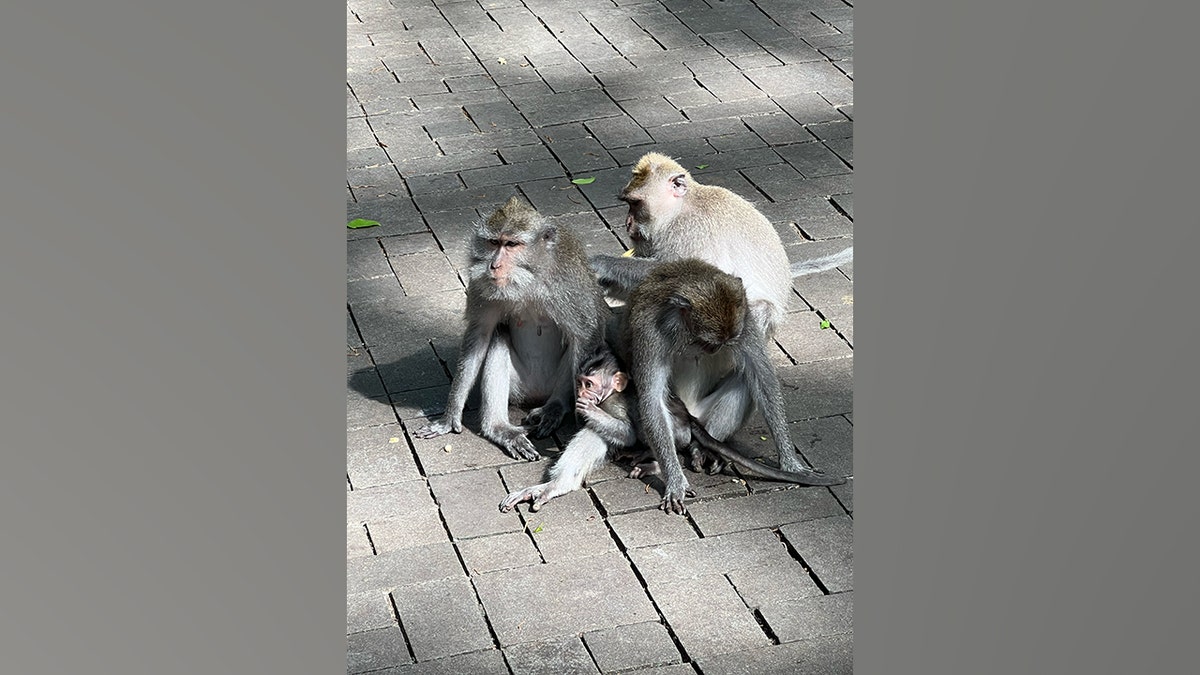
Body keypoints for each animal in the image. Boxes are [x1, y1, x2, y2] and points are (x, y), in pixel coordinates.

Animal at [413, 196, 608, 461]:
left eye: (512, 244)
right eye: (494, 243)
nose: (494, 265)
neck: (528, 280)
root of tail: (536, 394)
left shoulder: (569, 285)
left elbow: (585, 334)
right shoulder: (481, 285)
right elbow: (480, 335)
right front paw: (449, 416)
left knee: (572, 345)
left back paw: (554, 407)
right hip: (519, 388)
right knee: (499, 336)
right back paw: (499, 428)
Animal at [623, 258, 845, 514]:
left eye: (722, 342)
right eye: (707, 342)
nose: (715, 349)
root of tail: (690, 411)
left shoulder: (745, 316)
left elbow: (761, 375)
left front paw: (791, 463)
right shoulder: (650, 332)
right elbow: (652, 399)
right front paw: (675, 481)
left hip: (702, 414)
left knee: (745, 379)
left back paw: (702, 451)